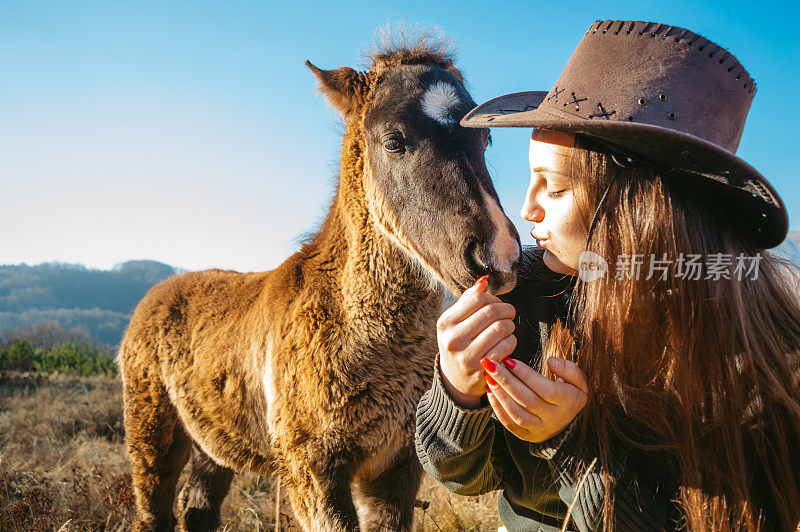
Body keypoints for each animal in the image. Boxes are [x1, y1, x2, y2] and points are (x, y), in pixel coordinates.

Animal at [117, 34, 520, 532]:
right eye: (394, 141)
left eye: (484, 137)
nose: (497, 256)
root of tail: (152, 298)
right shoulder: (312, 467)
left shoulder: (398, 467)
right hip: (152, 433)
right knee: (153, 508)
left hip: (215, 444)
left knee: (199, 507)